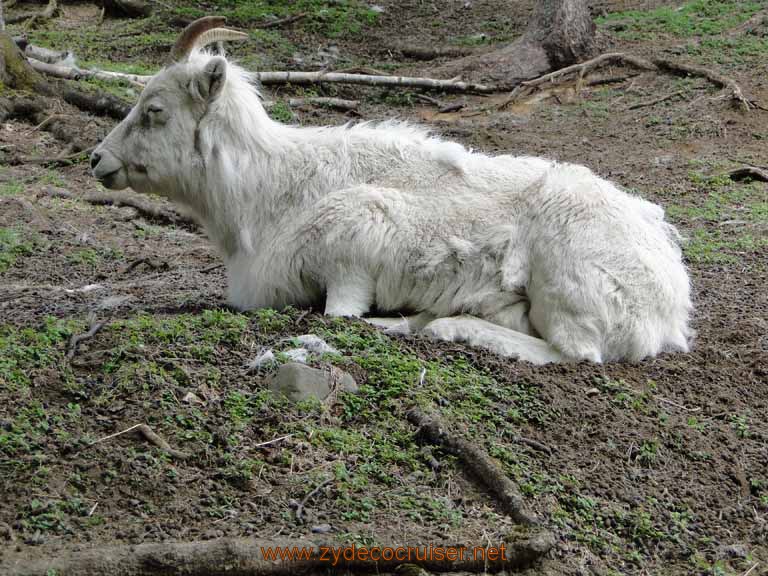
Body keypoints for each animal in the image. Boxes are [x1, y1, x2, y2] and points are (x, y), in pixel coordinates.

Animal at [91, 20, 696, 366]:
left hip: (566, 285)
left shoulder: (351, 256)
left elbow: (340, 318)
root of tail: (670, 308)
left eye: (154, 110)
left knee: (577, 354)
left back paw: (447, 326)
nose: (98, 160)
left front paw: (394, 321)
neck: (271, 190)